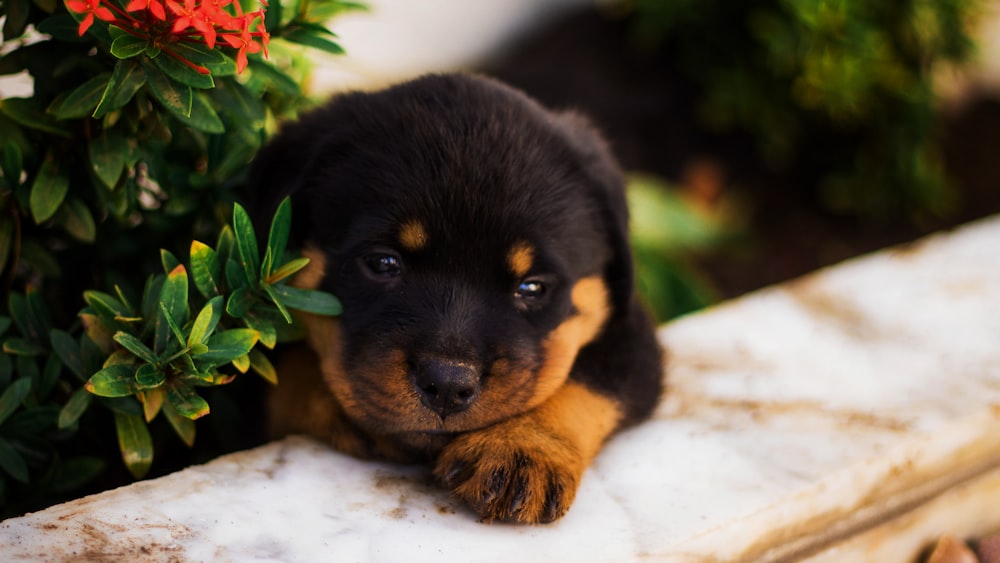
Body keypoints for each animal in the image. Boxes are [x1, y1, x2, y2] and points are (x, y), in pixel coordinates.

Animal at [252, 74, 664, 524]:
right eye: (383, 263)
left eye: (532, 287)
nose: (448, 383)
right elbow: (284, 374)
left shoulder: (630, 331)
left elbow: (587, 381)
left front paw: (520, 449)